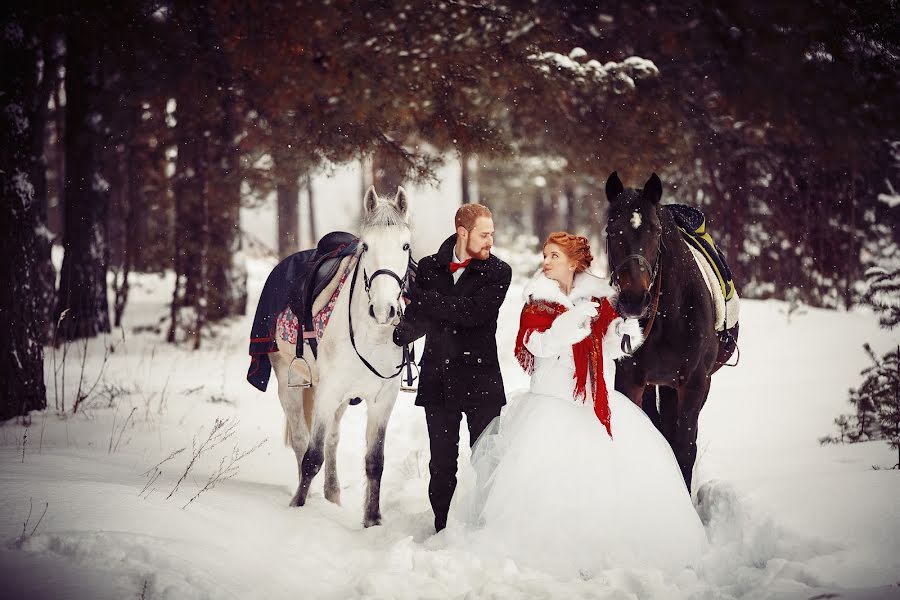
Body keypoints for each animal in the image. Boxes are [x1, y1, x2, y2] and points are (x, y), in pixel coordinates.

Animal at [270, 186, 412, 524]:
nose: (384, 310)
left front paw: (372, 519)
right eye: (366, 246)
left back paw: (332, 496)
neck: (371, 336)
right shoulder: (327, 392)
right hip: (287, 382)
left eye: (405, 245)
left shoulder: (382, 401)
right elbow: (312, 456)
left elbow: (375, 461)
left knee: (332, 441)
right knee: (301, 439)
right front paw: (297, 507)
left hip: (340, 399)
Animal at [600, 172, 720, 492]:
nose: (634, 299)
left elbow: (685, 448)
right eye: (611, 230)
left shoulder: (695, 384)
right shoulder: (630, 379)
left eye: (655, 231)